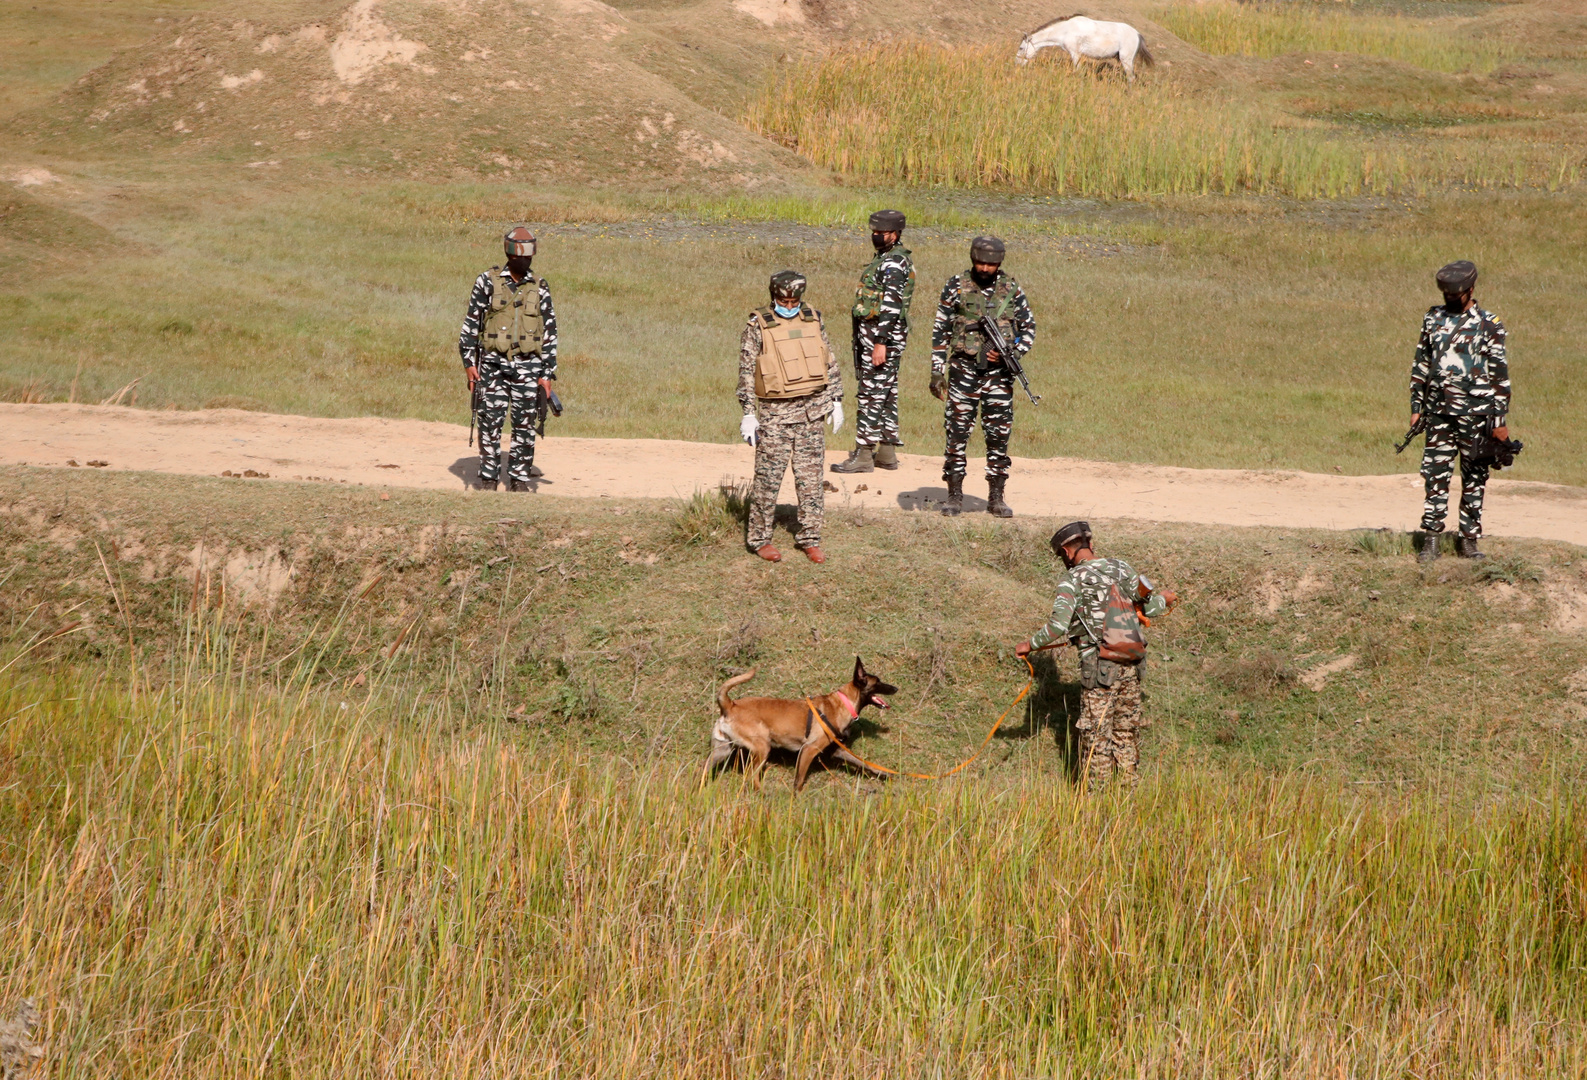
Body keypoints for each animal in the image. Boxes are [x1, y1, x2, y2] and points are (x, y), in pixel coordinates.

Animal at [704, 653, 901, 786]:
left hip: (722, 750)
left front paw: (884, 774)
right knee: (752, 777)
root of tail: (729, 705)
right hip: (762, 748)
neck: (843, 702)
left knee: (703, 770)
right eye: (878, 681)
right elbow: (798, 782)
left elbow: (863, 763)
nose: (896, 688)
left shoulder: (837, 750)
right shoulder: (808, 750)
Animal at [1015, 14, 1155, 82]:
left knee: (1131, 78)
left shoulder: (1075, 54)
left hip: (1126, 60)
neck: (1066, 30)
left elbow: (1077, 71)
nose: (1017, 63)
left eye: (1021, 48)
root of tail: (1137, 34)